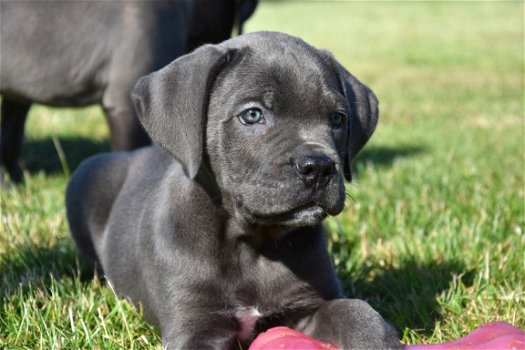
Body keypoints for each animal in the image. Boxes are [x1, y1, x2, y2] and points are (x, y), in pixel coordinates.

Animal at [66, 31, 402, 348]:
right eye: (252, 115)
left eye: (337, 118)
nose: (318, 167)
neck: (252, 244)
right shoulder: (194, 326)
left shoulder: (310, 303)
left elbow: (358, 313)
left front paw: (379, 339)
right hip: (84, 180)